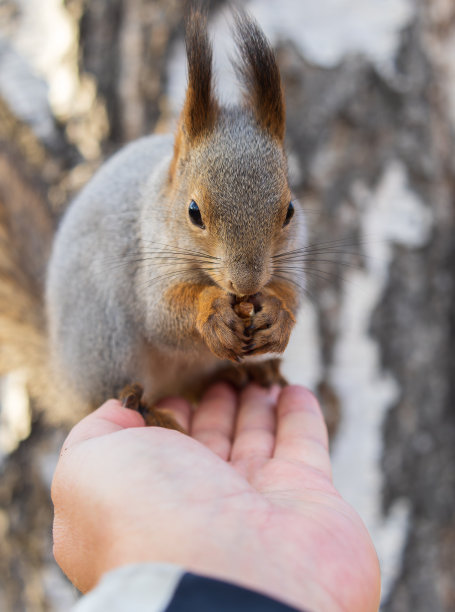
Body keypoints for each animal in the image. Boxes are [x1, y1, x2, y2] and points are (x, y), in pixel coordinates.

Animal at [41, 8, 306, 430]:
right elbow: (163, 316)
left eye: (289, 211)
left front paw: (277, 314)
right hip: (104, 338)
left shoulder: (293, 254)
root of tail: (64, 383)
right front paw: (211, 312)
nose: (247, 283)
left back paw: (247, 373)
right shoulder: (148, 258)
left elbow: (291, 292)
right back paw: (143, 408)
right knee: (108, 390)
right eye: (194, 212)